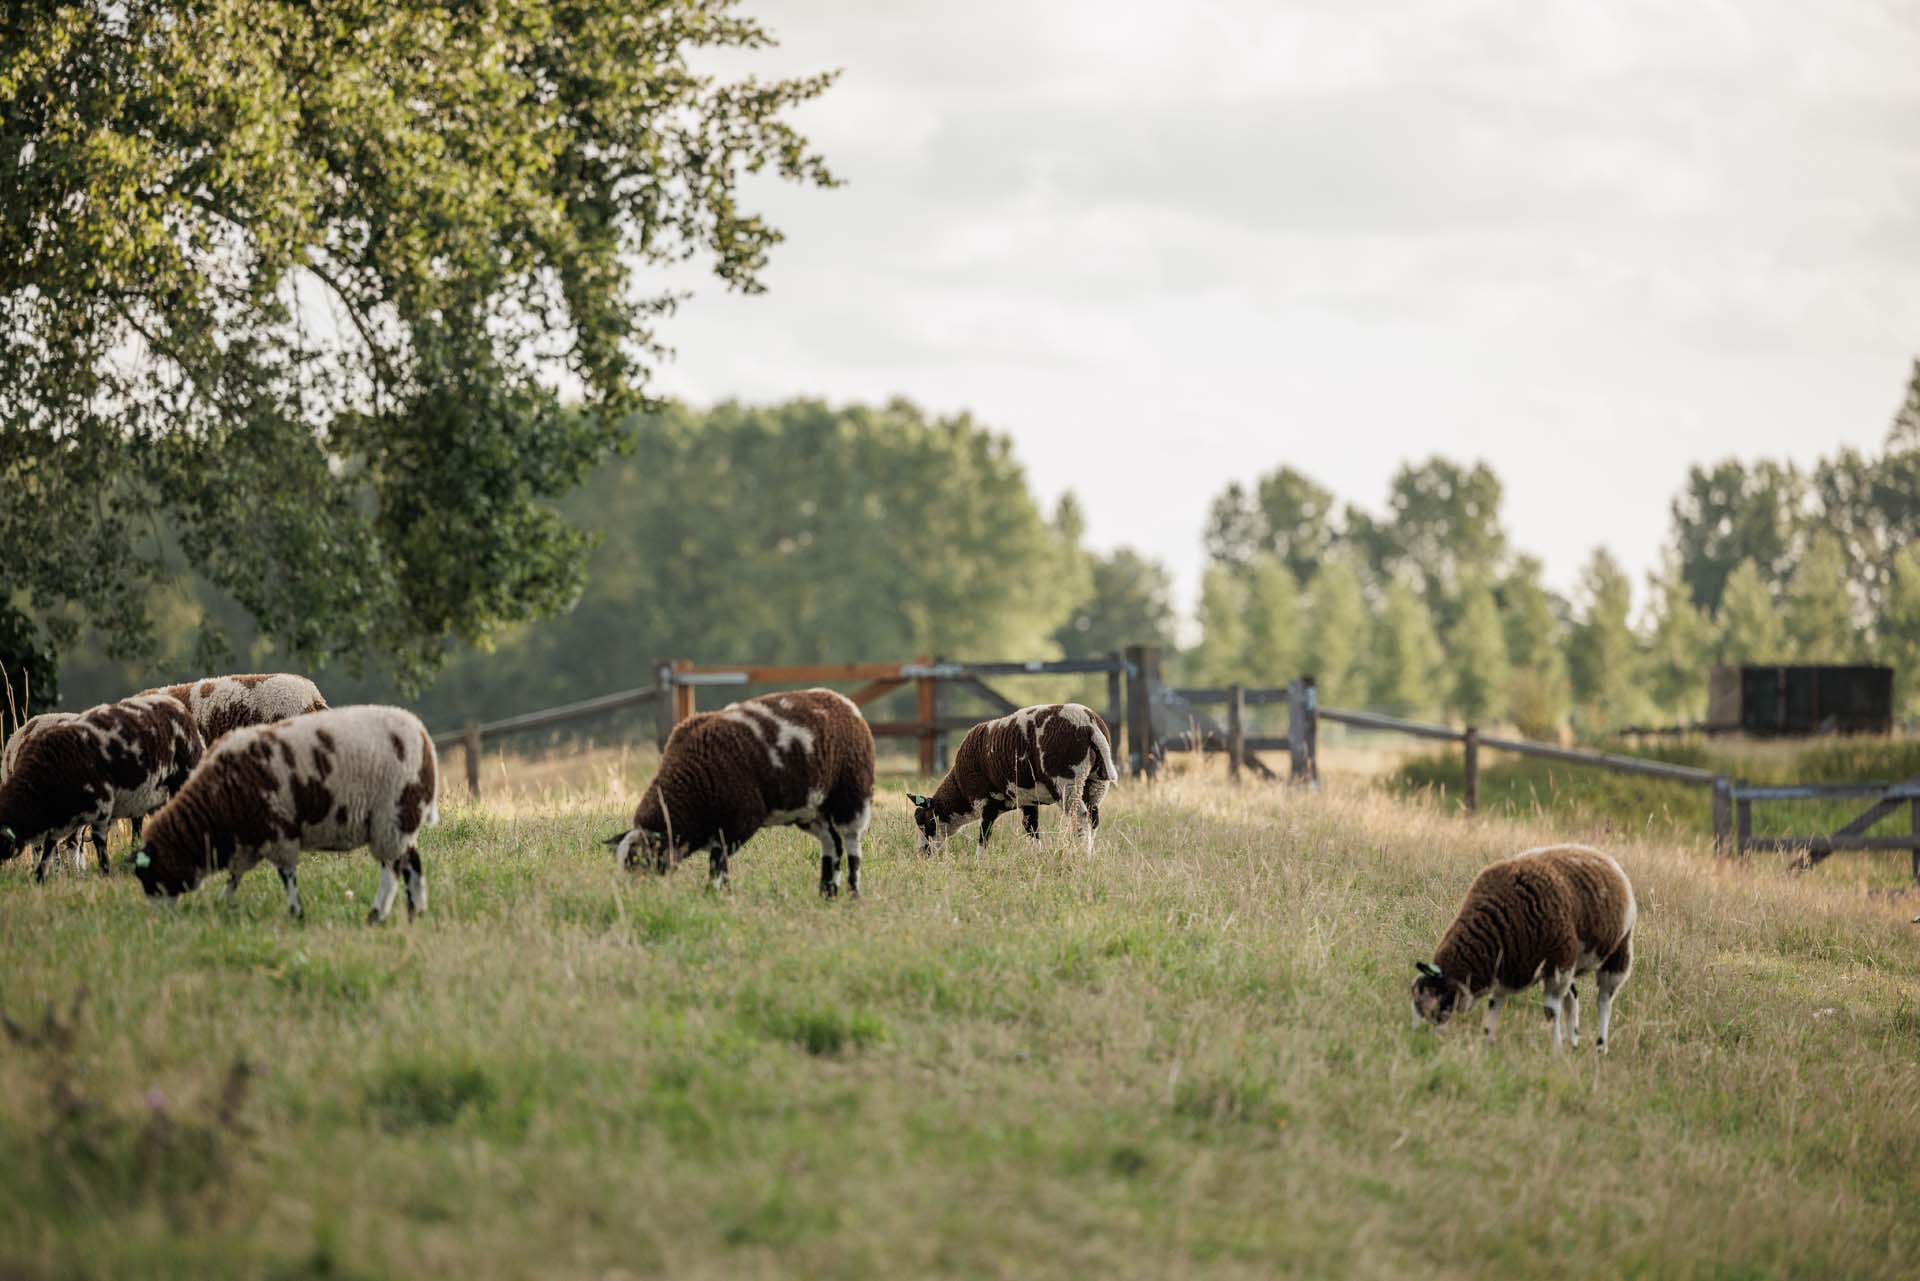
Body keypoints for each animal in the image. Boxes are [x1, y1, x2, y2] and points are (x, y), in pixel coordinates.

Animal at [0, 694, 205, 879]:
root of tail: (175, 703)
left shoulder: (101, 803)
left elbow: (96, 843)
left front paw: (103, 874)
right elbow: (51, 846)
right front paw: (41, 877)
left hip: (182, 775)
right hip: (155, 793)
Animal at [131, 704, 438, 923]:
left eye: (149, 877)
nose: (158, 920)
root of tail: (422, 736)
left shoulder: (279, 832)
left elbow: (286, 875)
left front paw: (296, 912)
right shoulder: (249, 839)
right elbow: (235, 875)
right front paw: (223, 901)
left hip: (391, 817)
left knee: (392, 870)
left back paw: (377, 914)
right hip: (400, 821)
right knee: (413, 864)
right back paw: (416, 913)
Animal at [607, 688, 875, 898]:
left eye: (641, 860)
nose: (630, 893)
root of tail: (844, 702)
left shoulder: (740, 821)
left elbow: (718, 862)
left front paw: (715, 894)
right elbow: (720, 864)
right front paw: (723, 894)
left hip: (851, 794)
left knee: (851, 845)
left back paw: (853, 893)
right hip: (811, 809)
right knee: (832, 844)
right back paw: (827, 893)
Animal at [907, 703, 1117, 856]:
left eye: (925, 821)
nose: (922, 854)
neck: (960, 790)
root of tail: (1090, 724)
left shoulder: (985, 802)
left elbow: (984, 836)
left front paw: (978, 863)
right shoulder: (1029, 801)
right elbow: (1031, 829)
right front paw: (1038, 856)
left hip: (1066, 781)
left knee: (1080, 815)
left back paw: (1083, 854)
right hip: (1095, 783)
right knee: (1093, 818)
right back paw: (1090, 852)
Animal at [1411, 844, 1636, 1052]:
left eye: (1435, 999)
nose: (1427, 1040)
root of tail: (1597, 853)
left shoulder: (1556, 965)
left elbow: (1551, 1011)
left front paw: (1555, 1051)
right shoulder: (1509, 966)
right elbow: (1495, 1003)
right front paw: (1488, 1042)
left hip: (1617, 953)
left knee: (1604, 1001)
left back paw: (1600, 1047)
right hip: (1571, 962)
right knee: (1572, 999)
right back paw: (1573, 1043)